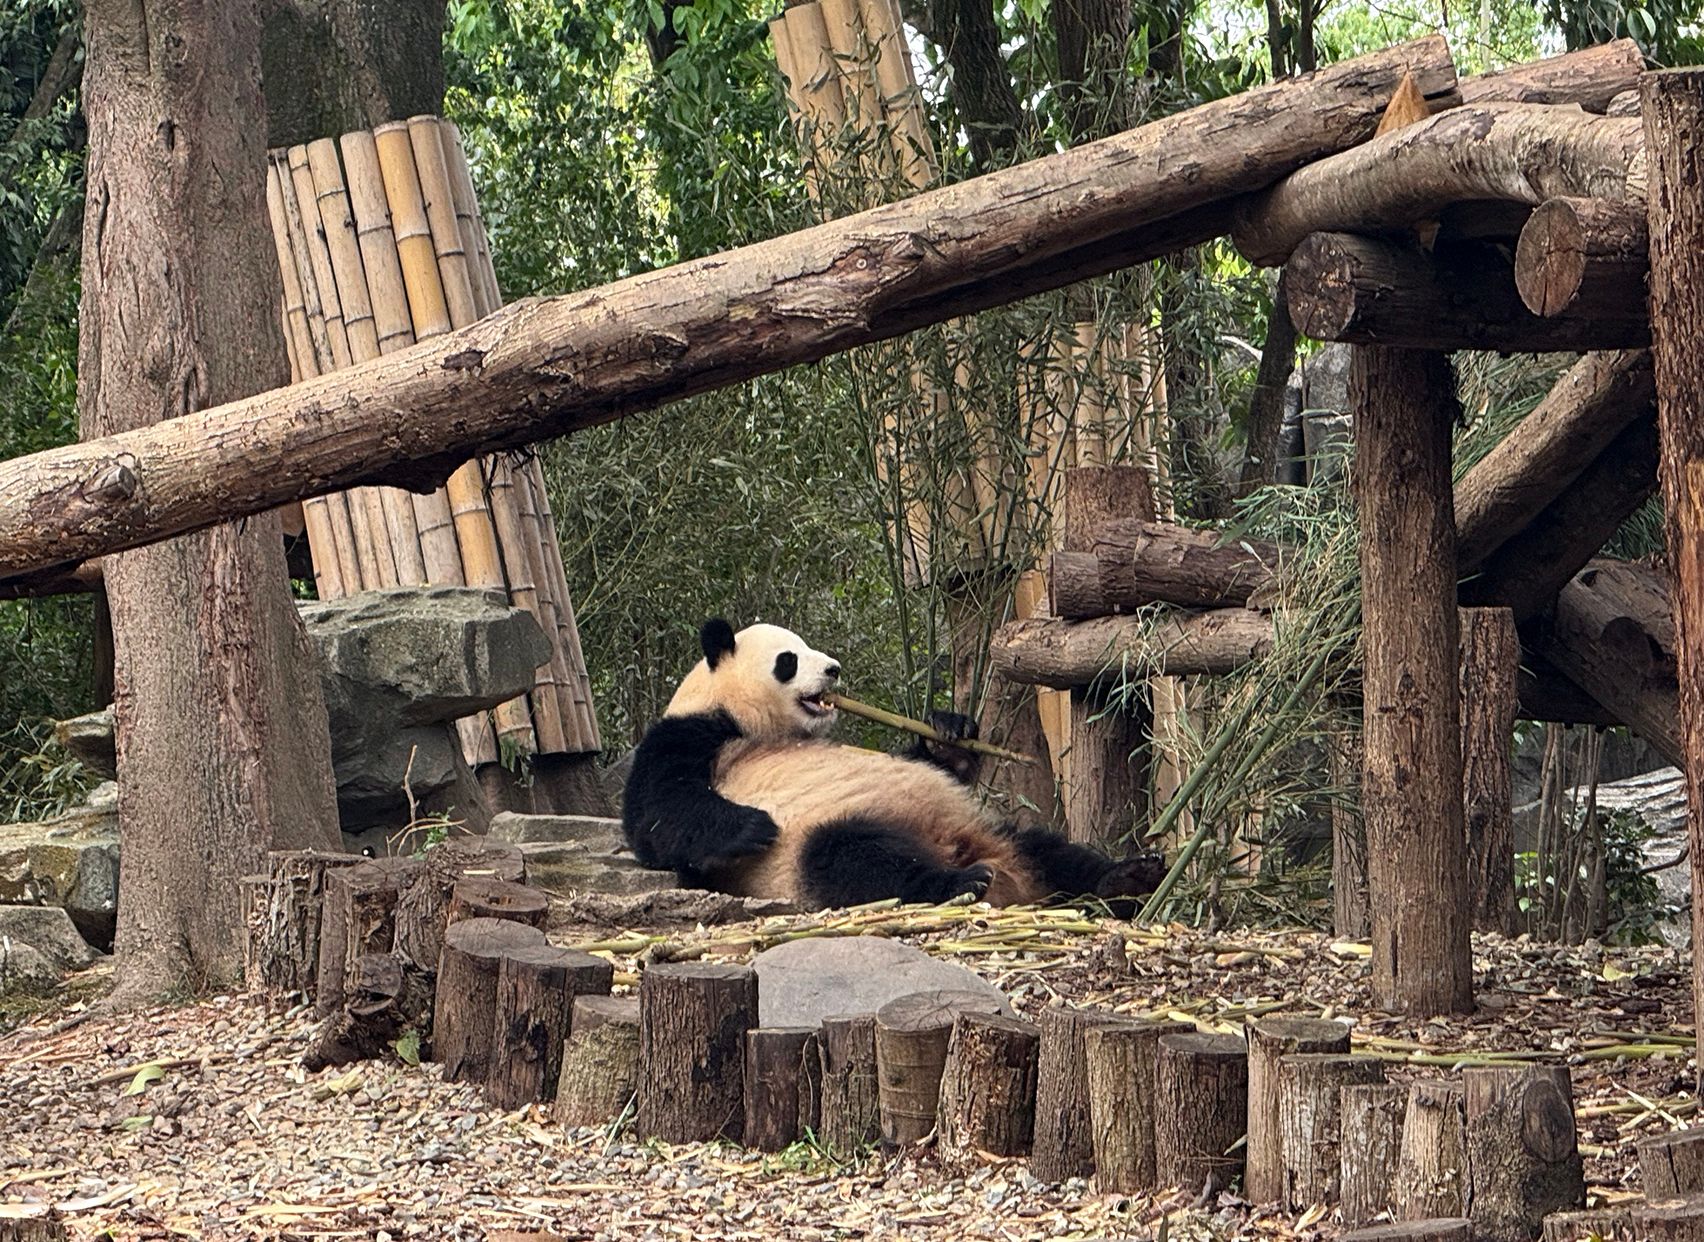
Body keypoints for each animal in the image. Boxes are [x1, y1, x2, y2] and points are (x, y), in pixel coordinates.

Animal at [621, 618, 1166, 910]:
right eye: (788, 659)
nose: (834, 669)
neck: (745, 716)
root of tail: (958, 846)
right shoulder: (689, 733)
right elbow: (658, 814)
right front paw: (752, 825)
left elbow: (927, 757)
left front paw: (949, 730)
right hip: (813, 846)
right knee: (855, 858)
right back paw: (960, 883)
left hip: (989, 826)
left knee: (1049, 850)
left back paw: (1128, 877)